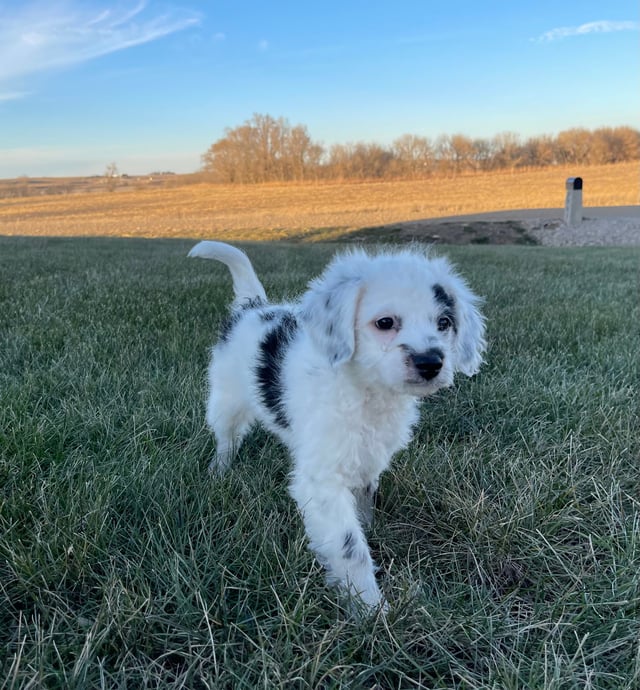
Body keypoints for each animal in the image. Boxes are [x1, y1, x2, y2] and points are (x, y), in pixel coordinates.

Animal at [189, 241, 484, 608]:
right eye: (385, 322)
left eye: (444, 322)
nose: (431, 362)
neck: (367, 391)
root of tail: (254, 307)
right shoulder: (323, 481)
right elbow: (349, 547)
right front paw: (372, 608)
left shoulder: (368, 456)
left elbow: (365, 498)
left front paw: (370, 529)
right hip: (226, 399)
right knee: (226, 438)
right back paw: (219, 471)